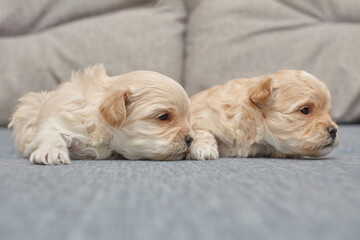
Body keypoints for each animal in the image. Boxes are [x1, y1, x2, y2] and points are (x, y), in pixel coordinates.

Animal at [188, 69, 340, 160]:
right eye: (305, 110)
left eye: (328, 112)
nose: (334, 131)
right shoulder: (201, 117)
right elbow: (202, 132)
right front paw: (205, 150)